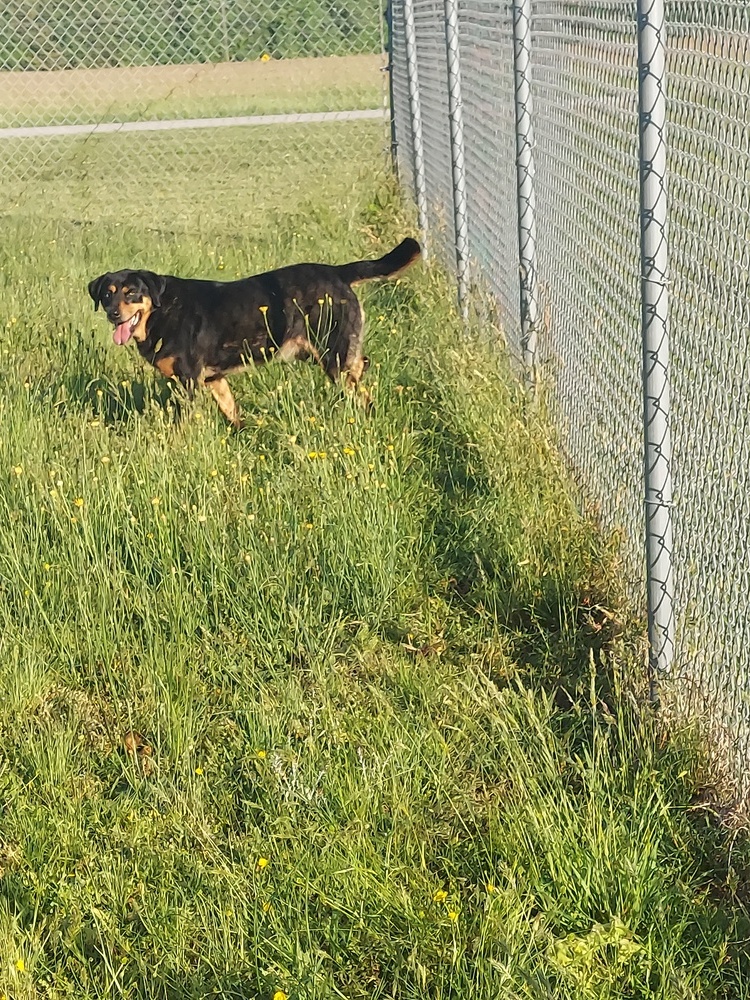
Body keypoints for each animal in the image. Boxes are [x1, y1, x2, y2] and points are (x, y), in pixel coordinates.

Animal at [88, 237, 424, 426]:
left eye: (132, 293)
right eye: (107, 294)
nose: (113, 313)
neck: (162, 310)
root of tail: (338, 271)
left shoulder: (189, 381)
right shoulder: (215, 380)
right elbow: (233, 413)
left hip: (333, 354)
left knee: (359, 385)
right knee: (361, 369)